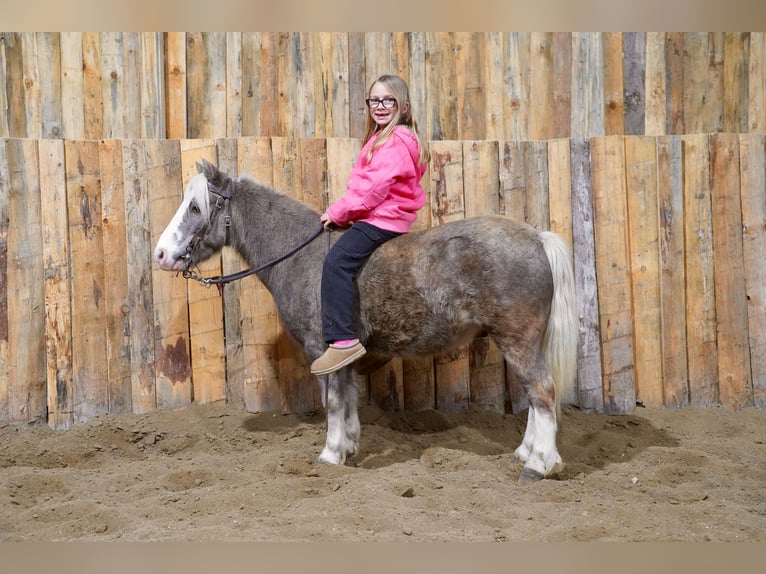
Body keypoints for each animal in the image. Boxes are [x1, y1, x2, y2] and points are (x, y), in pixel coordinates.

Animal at [153, 159, 579, 481]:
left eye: (195, 208)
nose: (160, 254)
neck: (300, 255)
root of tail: (537, 238)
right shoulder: (341, 351)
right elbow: (349, 395)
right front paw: (350, 444)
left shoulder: (320, 348)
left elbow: (333, 400)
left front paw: (330, 453)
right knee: (535, 395)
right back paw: (526, 452)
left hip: (517, 339)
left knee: (542, 392)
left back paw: (539, 464)